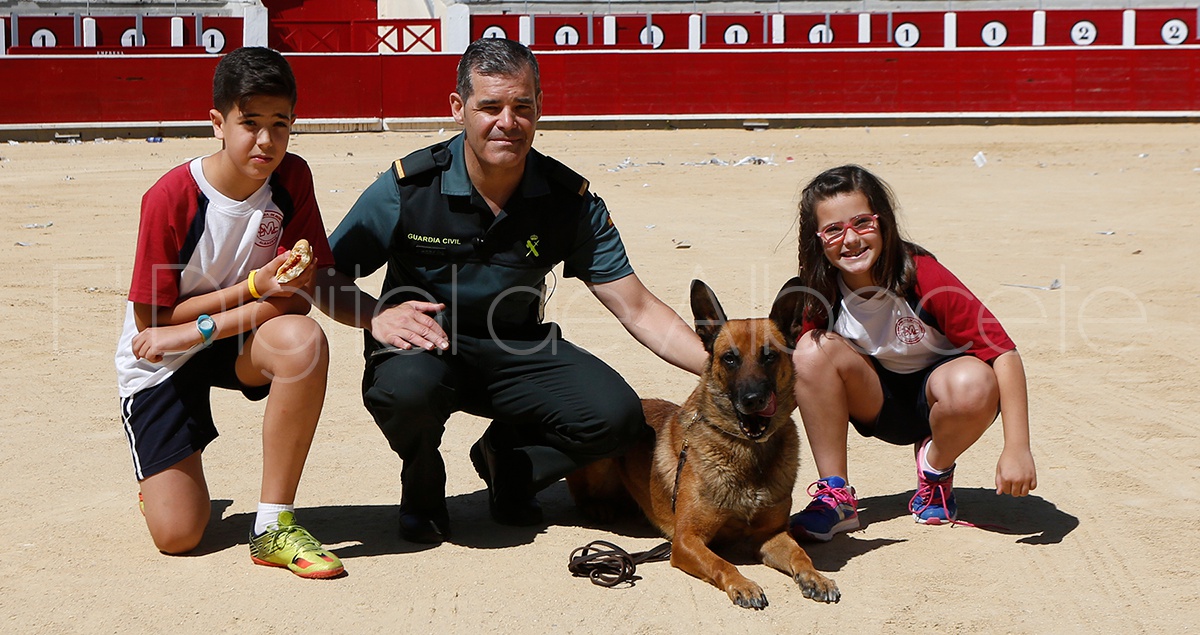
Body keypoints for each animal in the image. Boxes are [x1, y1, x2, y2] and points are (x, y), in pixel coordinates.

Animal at [566, 277, 840, 609]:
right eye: (730, 358)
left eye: (769, 356)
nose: (753, 400)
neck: (748, 453)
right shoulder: (686, 541)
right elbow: (722, 563)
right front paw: (743, 584)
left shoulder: (771, 535)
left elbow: (800, 554)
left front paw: (816, 577)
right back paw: (598, 506)